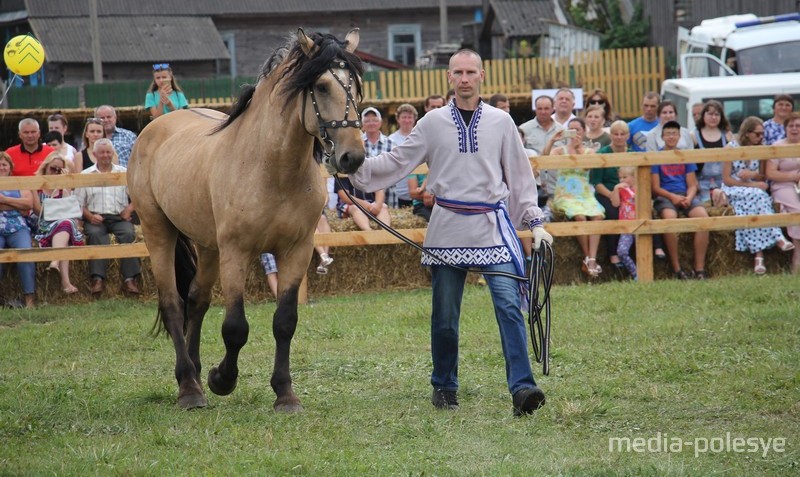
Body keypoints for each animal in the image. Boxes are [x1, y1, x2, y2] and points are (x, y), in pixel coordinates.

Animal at [128, 29, 366, 410]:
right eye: (322, 86)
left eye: (356, 88)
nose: (352, 157)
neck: (271, 167)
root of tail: (157, 125)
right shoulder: (236, 252)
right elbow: (235, 327)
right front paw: (221, 379)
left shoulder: (297, 250)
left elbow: (285, 321)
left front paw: (285, 393)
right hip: (158, 232)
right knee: (173, 304)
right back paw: (189, 387)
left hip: (208, 246)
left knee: (196, 300)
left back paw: (195, 372)